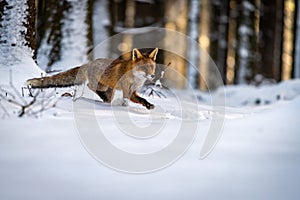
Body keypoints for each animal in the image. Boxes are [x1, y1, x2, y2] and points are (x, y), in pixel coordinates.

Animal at [27, 47, 159, 109]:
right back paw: (103, 98)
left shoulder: (133, 92)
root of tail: (88, 63)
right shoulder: (126, 90)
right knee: (91, 86)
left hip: (110, 90)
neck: (135, 79)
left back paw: (105, 100)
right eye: (143, 67)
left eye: (151, 67)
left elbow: (142, 100)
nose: (152, 75)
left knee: (104, 94)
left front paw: (148, 106)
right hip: (103, 85)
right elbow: (126, 101)